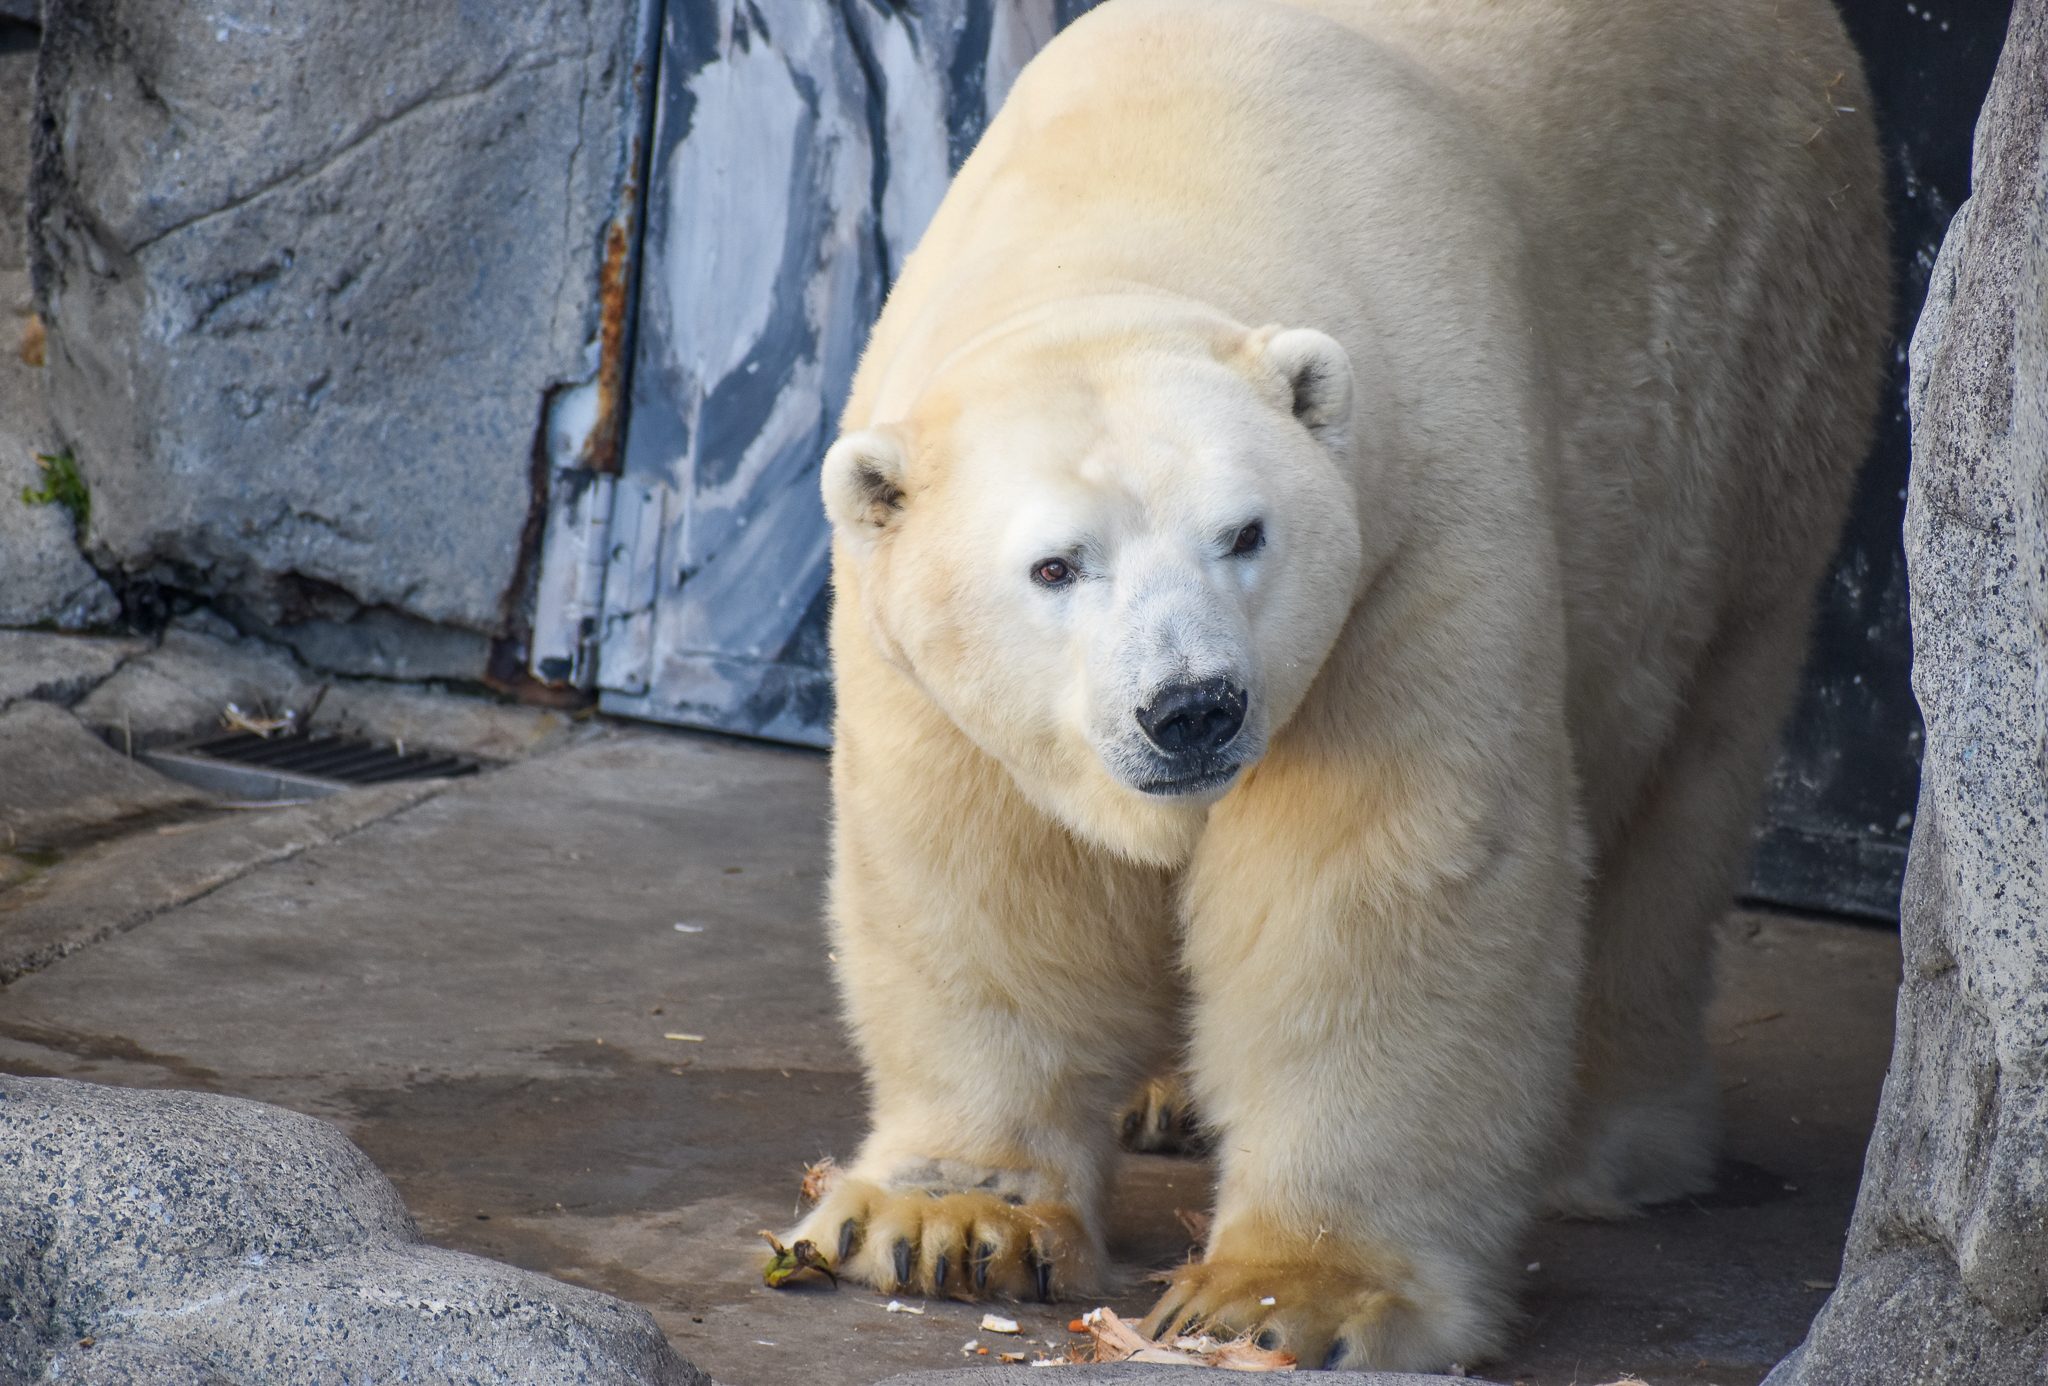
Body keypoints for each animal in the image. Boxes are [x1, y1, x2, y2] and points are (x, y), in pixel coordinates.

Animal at [783, 0, 1888, 1370]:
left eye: (1244, 533)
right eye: (1052, 565)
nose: (1190, 709)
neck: (1128, 209)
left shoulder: (1414, 523)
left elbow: (1374, 878)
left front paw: (1282, 1294)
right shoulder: (913, 646)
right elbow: (981, 871)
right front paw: (949, 1222)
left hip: (1758, 386)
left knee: (1684, 772)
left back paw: (1611, 1141)